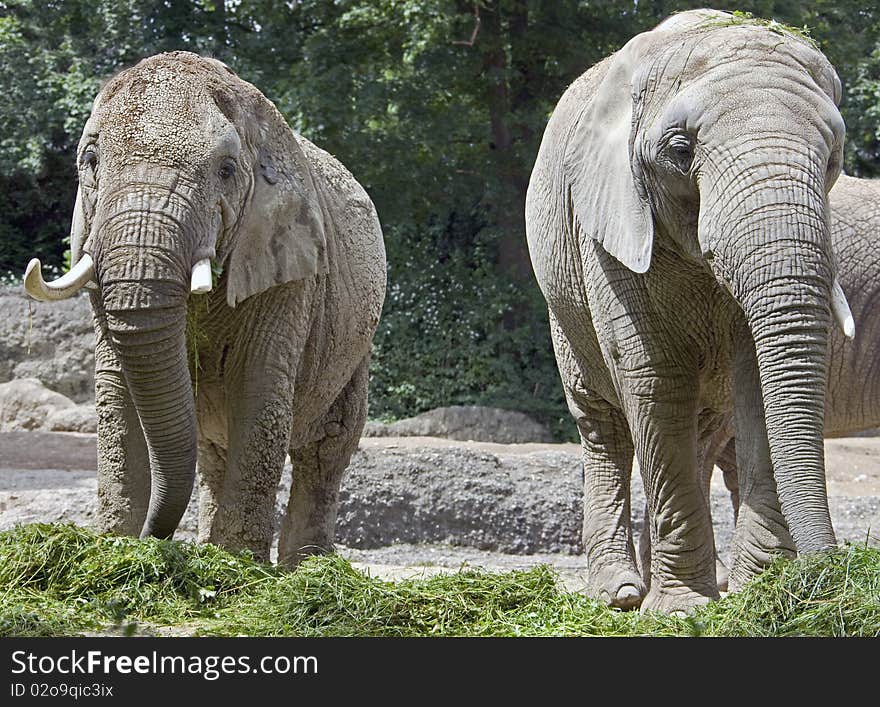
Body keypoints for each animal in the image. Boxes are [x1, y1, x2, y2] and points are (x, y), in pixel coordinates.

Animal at [22, 52, 386, 568]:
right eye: (90, 162)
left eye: (228, 171)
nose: (153, 540)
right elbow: (116, 392)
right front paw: (115, 546)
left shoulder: (290, 267)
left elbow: (259, 388)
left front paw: (239, 565)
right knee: (215, 451)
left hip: (356, 344)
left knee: (326, 448)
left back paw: (307, 565)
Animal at [524, 6, 856, 612]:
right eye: (680, 152)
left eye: (834, 159)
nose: (832, 571)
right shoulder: (607, 225)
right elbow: (653, 378)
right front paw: (683, 609)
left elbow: (755, 383)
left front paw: (757, 595)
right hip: (563, 304)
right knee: (604, 424)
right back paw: (621, 594)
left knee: (701, 431)